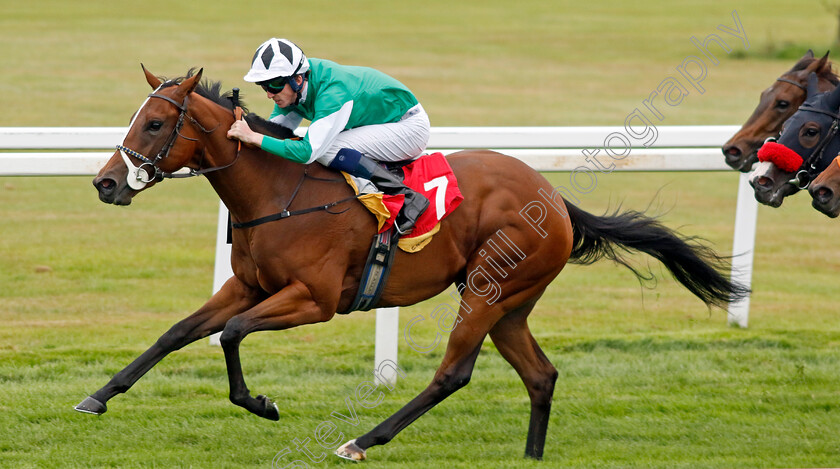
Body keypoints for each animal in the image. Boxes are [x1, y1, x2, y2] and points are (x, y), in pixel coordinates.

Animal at [77, 65, 748, 460]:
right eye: (134, 118)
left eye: (155, 122)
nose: (105, 184)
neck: (277, 191)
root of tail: (554, 197)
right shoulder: (247, 285)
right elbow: (178, 332)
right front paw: (98, 398)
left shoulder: (314, 300)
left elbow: (233, 335)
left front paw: (261, 403)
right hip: (511, 304)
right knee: (541, 375)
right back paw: (530, 456)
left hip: (486, 290)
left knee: (452, 374)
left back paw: (362, 440)